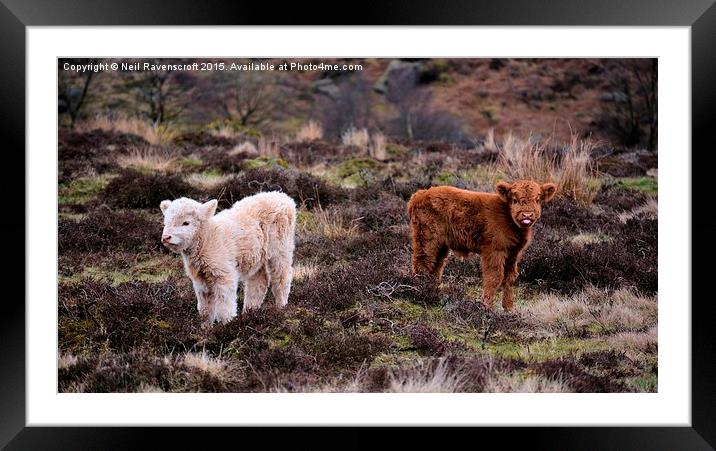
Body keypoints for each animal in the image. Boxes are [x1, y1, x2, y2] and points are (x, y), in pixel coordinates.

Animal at [406, 180, 556, 310]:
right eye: (515, 199)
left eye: (537, 199)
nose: (527, 215)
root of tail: (420, 194)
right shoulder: (494, 251)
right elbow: (494, 277)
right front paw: (487, 307)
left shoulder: (513, 254)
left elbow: (509, 279)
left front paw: (509, 309)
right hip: (427, 239)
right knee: (422, 263)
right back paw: (420, 291)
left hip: (441, 246)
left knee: (436, 268)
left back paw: (432, 293)